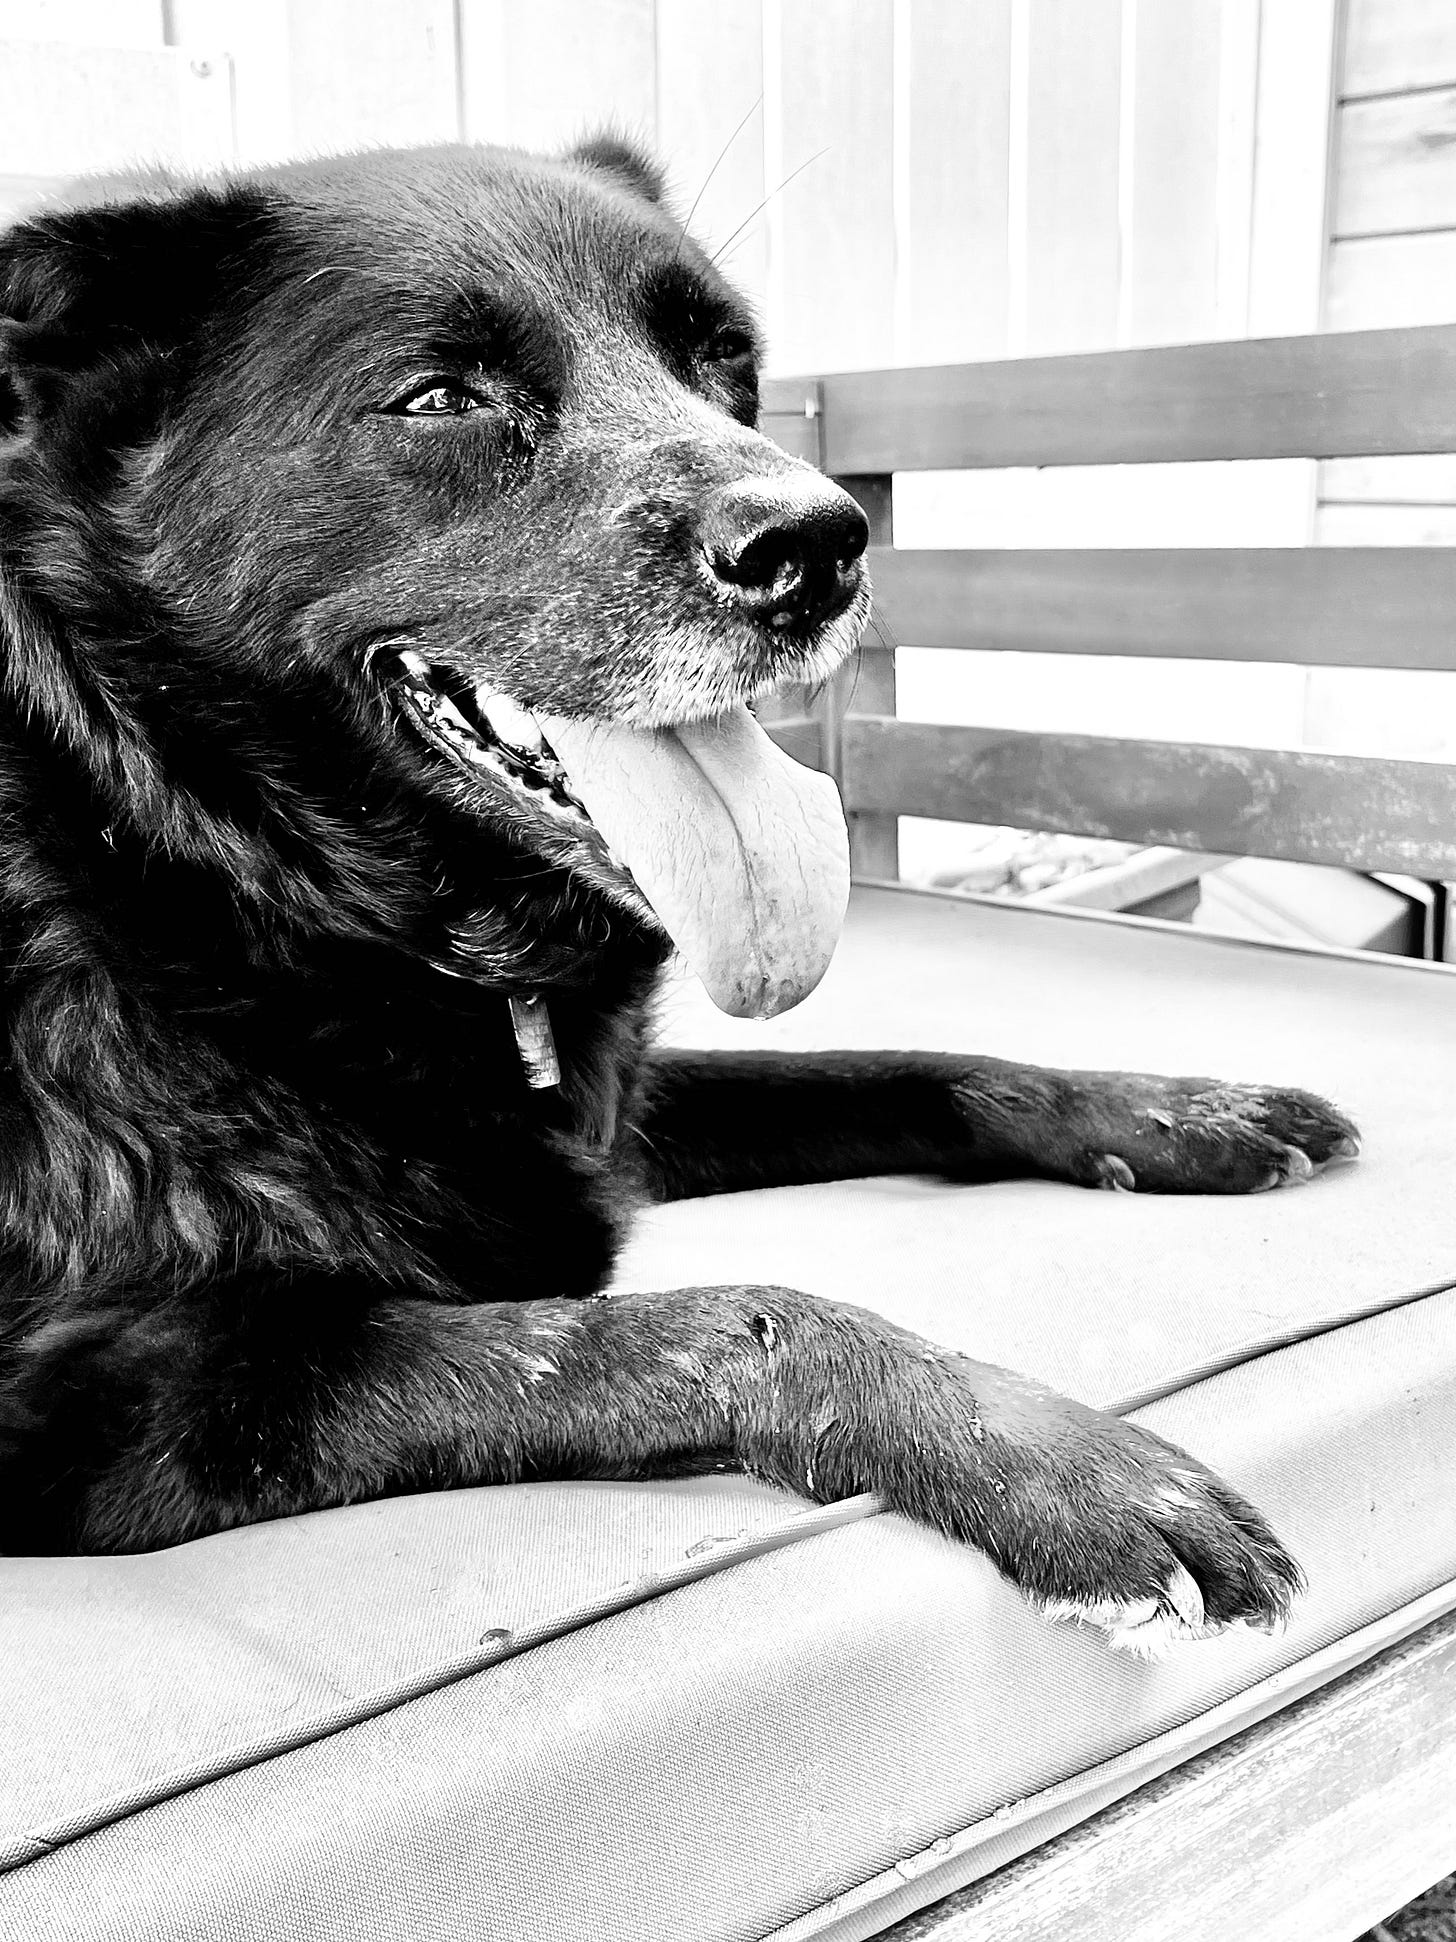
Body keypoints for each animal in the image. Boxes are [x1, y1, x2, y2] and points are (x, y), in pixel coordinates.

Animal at [0, 140, 1358, 1654]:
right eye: (439, 396)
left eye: (723, 362)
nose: (821, 544)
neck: (204, 859)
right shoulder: (107, 1400)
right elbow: (731, 1315)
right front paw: (1065, 1467)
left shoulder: (621, 1122)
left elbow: (920, 1067)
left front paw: (1177, 1111)